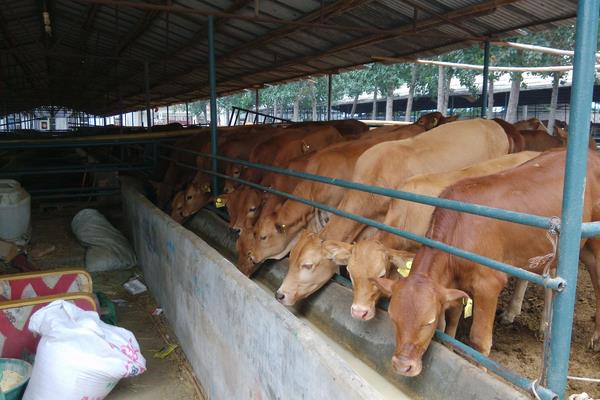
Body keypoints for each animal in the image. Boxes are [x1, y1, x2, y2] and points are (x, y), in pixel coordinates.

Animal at [370, 150, 600, 378]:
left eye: (428, 321)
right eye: (393, 317)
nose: (402, 366)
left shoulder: (488, 285)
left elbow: (479, 340)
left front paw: (481, 370)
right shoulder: (455, 285)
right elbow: (450, 323)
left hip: (594, 247)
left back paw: (595, 337)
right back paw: (545, 328)